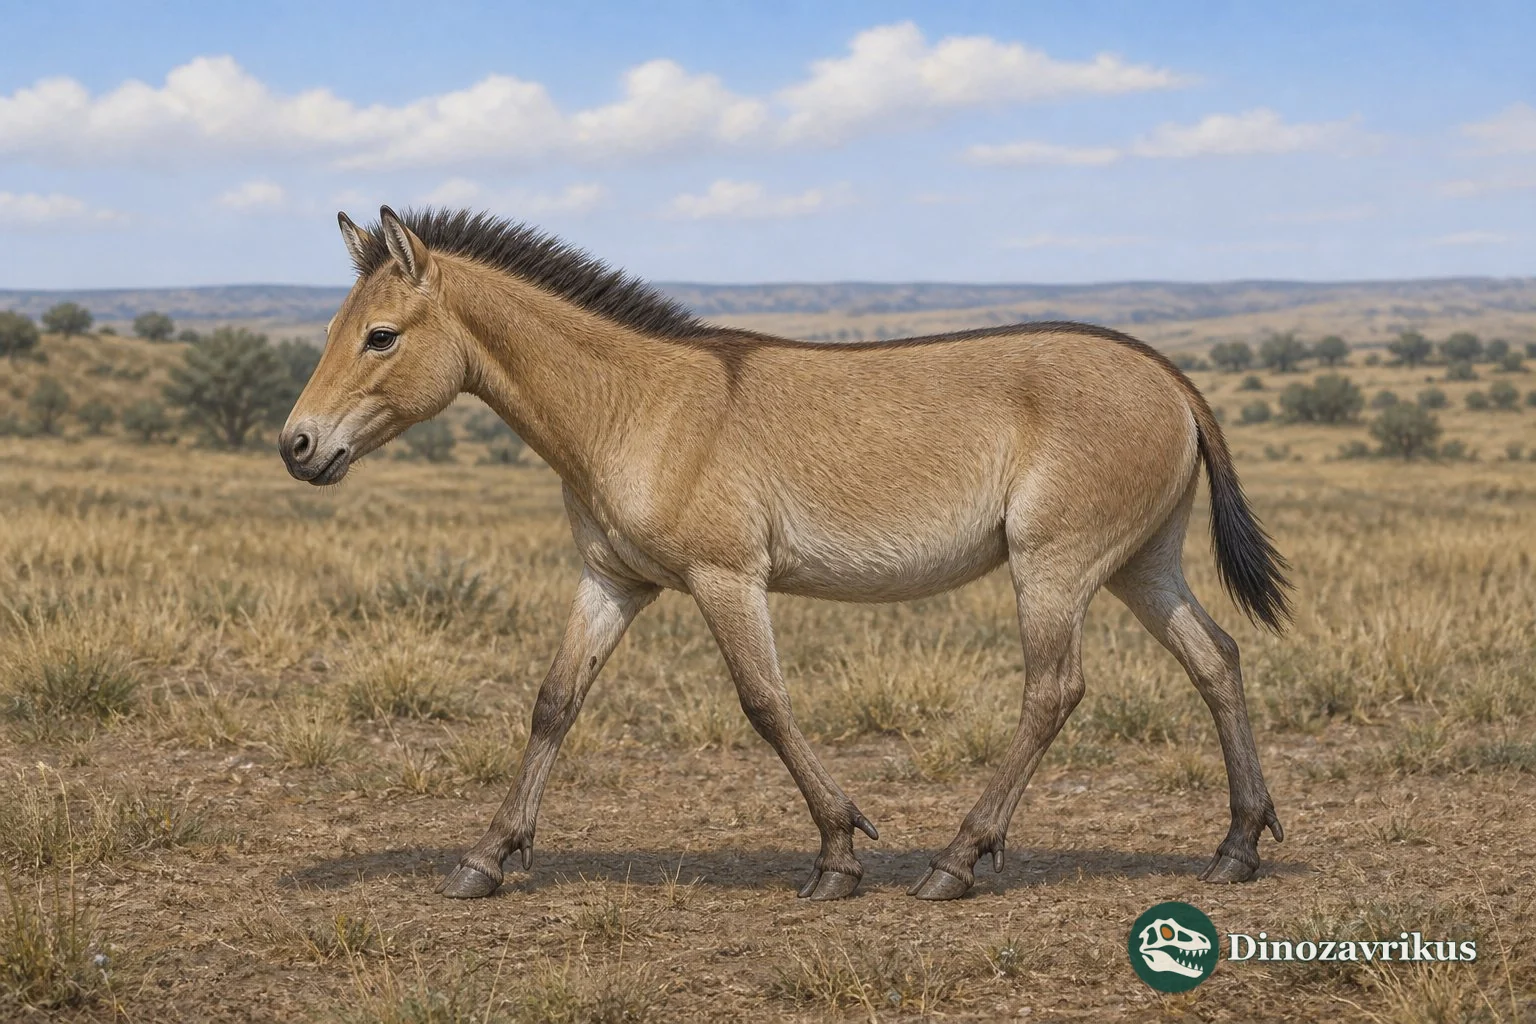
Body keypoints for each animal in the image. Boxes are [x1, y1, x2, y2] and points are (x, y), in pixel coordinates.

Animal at [280, 206, 1290, 901]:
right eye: (331, 331)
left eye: (380, 336)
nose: (297, 446)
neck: (639, 406)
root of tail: (1167, 377)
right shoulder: (614, 581)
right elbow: (554, 704)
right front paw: (486, 858)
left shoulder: (726, 580)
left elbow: (765, 704)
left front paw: (838, 855)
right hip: (1140, 568)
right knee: (1216, 659)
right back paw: (1236, 847)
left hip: (1056, 569)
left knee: (1053, 691)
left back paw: (956, 863)